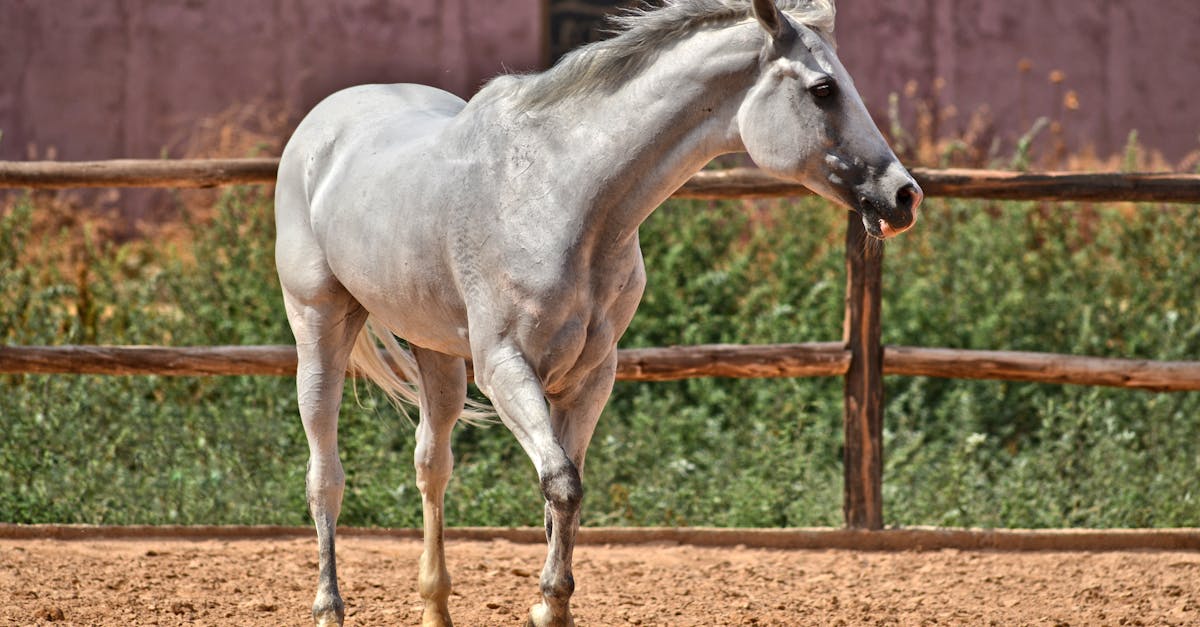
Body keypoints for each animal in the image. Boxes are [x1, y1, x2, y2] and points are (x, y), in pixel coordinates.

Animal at [274, 1, 921, 624]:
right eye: (823, 89)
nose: (904, 195)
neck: (563, 194)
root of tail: (320, 130)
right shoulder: (506, 367)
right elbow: (562, 485)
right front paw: (547, 603)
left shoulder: (590, 375)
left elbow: (564, 497)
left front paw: (548, 605)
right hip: (320, 329)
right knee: (324, 476)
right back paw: (328, 607)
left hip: (436, 354)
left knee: (432, 466)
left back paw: (435, 606)